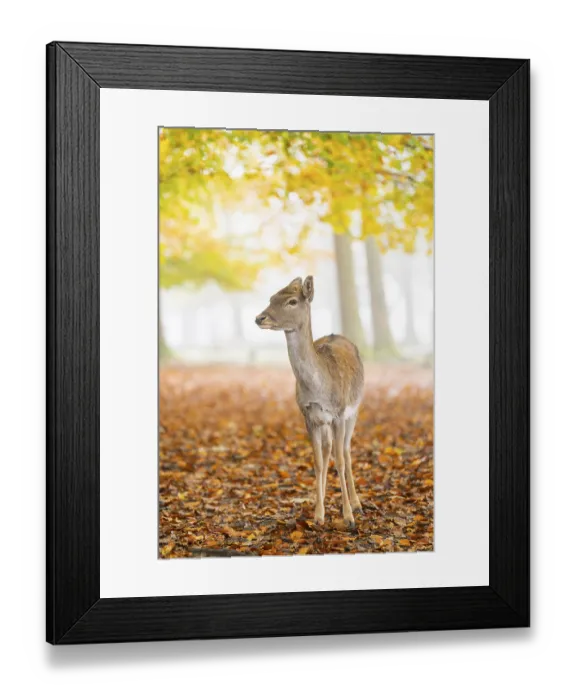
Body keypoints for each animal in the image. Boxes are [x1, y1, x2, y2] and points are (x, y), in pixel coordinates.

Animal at [255, 276, 364, 528]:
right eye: (271, 298)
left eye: (292, 301)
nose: (259, 318)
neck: (317, 389)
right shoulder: (308, 416)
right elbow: (317, 461)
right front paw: (318, 515)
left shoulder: (338, 414)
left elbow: (340, 461)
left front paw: (348, 516)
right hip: (325, 422)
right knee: (327, 450)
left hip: (354, 411)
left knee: (346, 451)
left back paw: (357, 503)